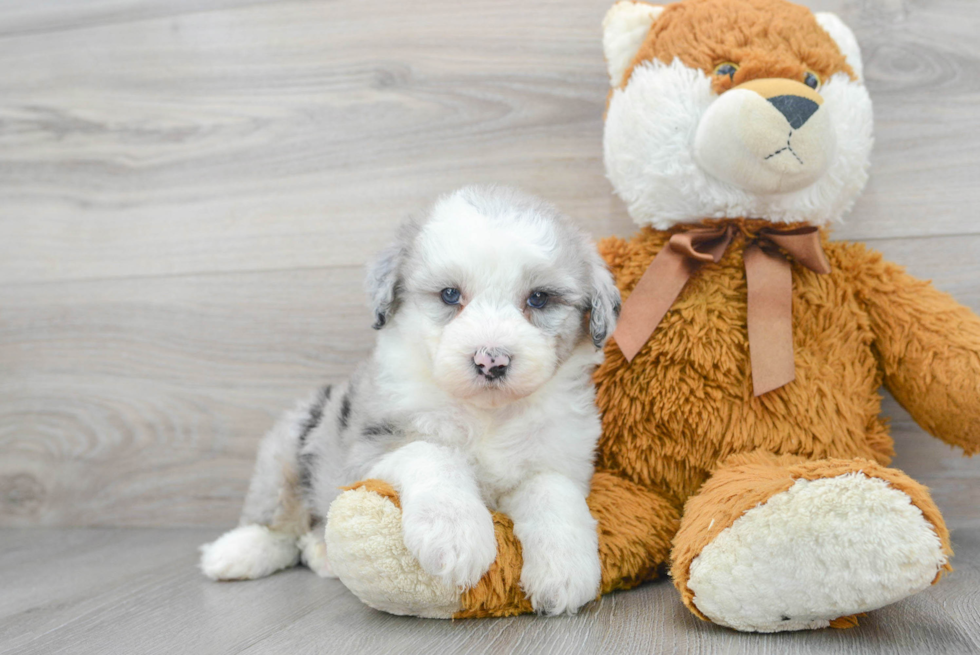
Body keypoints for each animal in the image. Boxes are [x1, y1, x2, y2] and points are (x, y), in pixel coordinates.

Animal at [201, 184, 620, 616]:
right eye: (450, 294)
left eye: (539, 299)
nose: (491, 360)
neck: (486, 414)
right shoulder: (369, 447)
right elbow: (431, 453)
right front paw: (455, 535)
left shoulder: (561, 455)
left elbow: (553, 492)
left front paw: (565, 572)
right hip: (289, 444)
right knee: (279, 519)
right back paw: (236, 553)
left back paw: (321, 553)